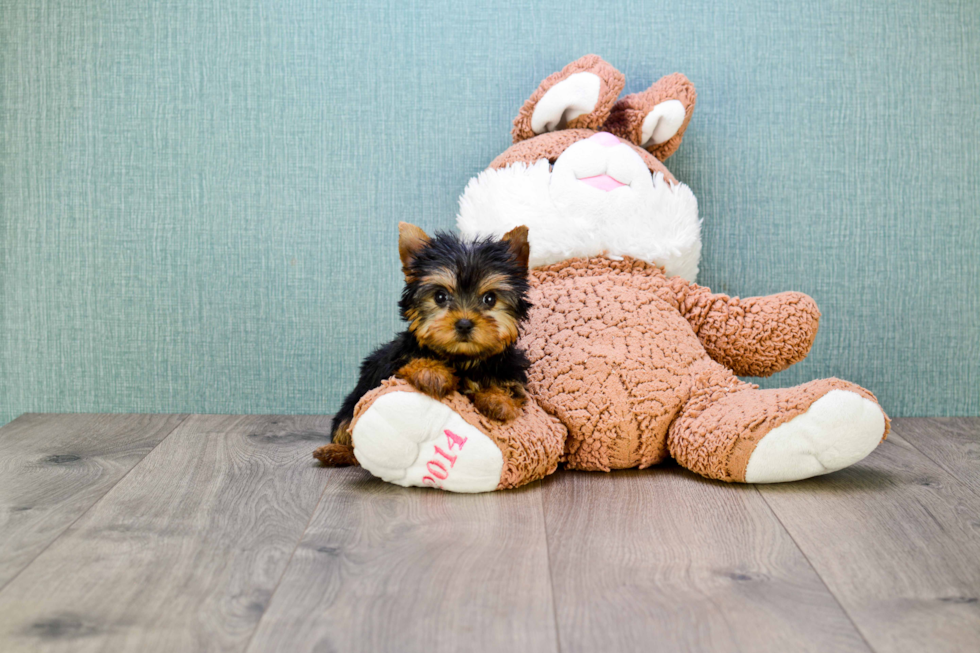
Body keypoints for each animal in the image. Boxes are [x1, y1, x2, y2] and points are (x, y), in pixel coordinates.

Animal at [312, 222, 528, 466]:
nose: (464, 324)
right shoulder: (394, 363)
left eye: (490, 299)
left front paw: (498, 400)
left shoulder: (512, 373)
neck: (462, 359)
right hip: (351, 404)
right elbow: (412, 361)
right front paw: (432, 373)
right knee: (348, 429)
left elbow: (512, 390)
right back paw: (335, 452)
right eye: (440, 296)